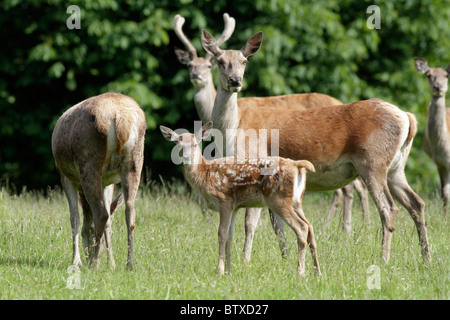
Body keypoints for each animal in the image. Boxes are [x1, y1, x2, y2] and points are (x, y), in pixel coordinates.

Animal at [51, 92, 146, 270]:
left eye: (86, 235)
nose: (87, 256)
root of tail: (121, 118)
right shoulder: (108, 181)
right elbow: (109, 221)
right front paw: (111, 263)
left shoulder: (65, 176)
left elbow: (75, 218)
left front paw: (76, 261)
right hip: (135, 161)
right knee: (129, 212)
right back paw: (129, 264)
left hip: (89, 162)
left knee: (100, 214)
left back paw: (94, 264)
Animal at [160, 121, 322, 276]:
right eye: (178, 144)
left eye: (195, 144)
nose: (186, 157)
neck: (205, 174)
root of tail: (296, 165)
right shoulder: (235, 207)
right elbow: (230, 236)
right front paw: (228, 271)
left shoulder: (224, 201)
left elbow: (221, 234)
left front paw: (219, 271)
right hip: (296, 202)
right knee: (310, 227)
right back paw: (317, 272)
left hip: (279, 200)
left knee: (302, 228)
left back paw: (300, 272)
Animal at [202, 28, 430, 264]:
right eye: (220, 61)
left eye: (244, 61)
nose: (235, 80)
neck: (233, 128)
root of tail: (408, 118)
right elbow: (277, 225)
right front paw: (285, 259)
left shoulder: (257, 161)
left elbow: (251, 222)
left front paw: (246, 261)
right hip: (396, 167)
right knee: (417, 203)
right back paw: (426, 258)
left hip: (373, 162)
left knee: (388, 209)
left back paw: (384, 259)